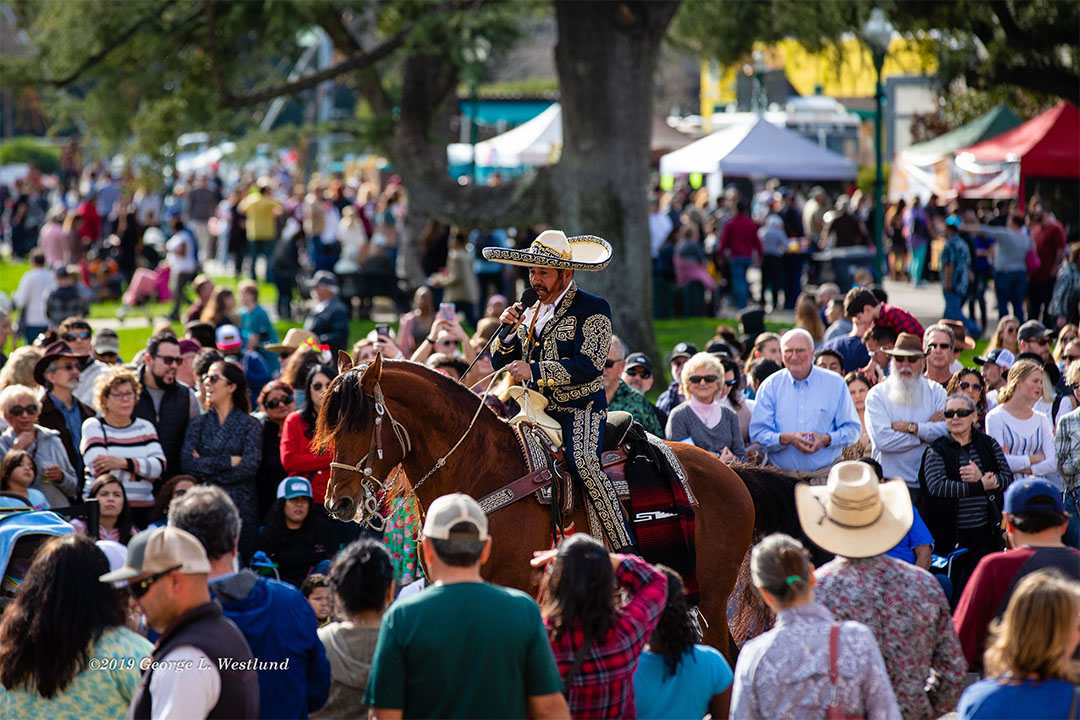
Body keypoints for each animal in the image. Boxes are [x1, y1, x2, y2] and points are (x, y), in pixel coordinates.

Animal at [315, 351, 803, 660]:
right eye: (331, 424)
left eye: (359, 423)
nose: (339, 502)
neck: (481, 471)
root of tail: (733, 473)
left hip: (714, 597)